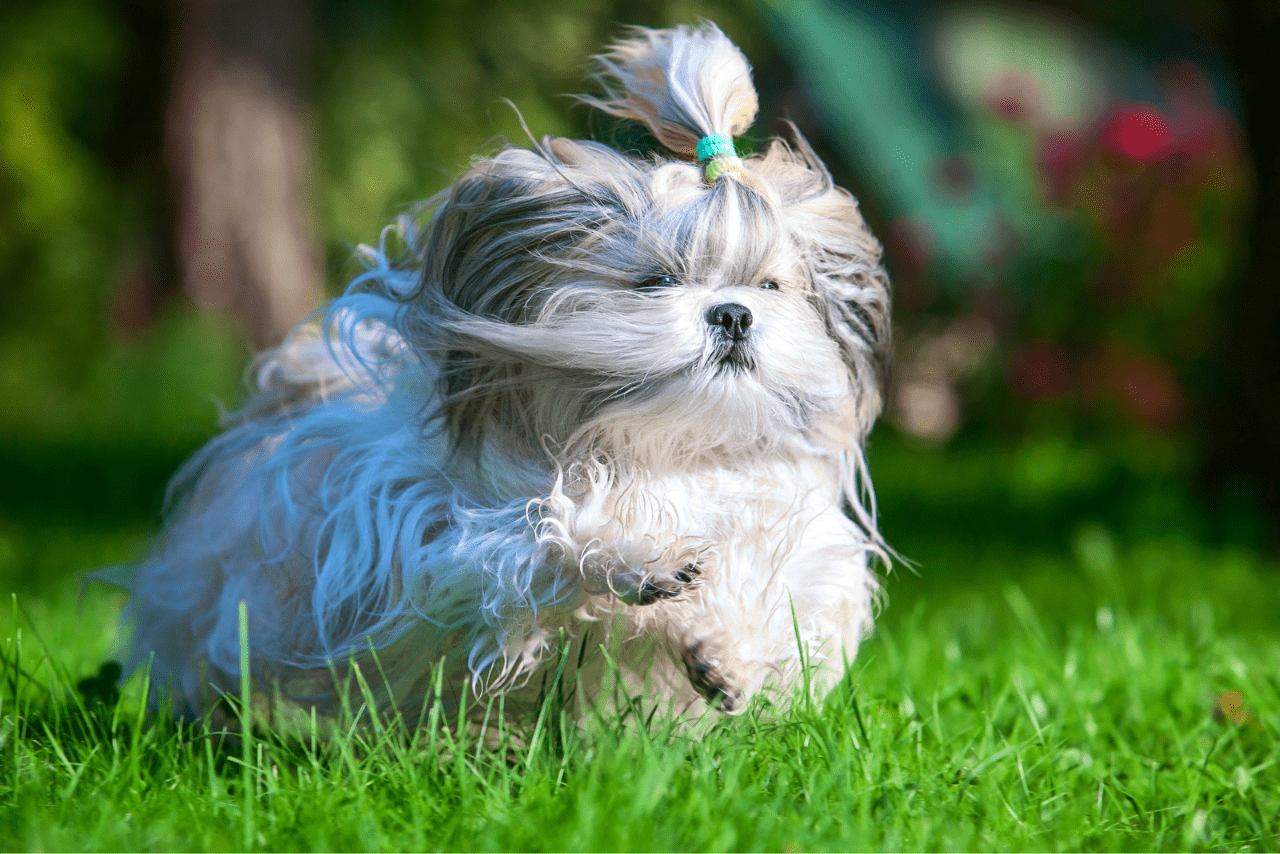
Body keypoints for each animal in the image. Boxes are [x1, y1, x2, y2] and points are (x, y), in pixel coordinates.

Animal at [124, 23, 896, 727]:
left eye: (768, 286)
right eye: (657, 280)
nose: (733, 314)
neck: (662, 445)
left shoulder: (795, 537)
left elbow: (788, 595)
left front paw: (727, 655)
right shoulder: (437, 539)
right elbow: (541, 536)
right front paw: (640, 560)